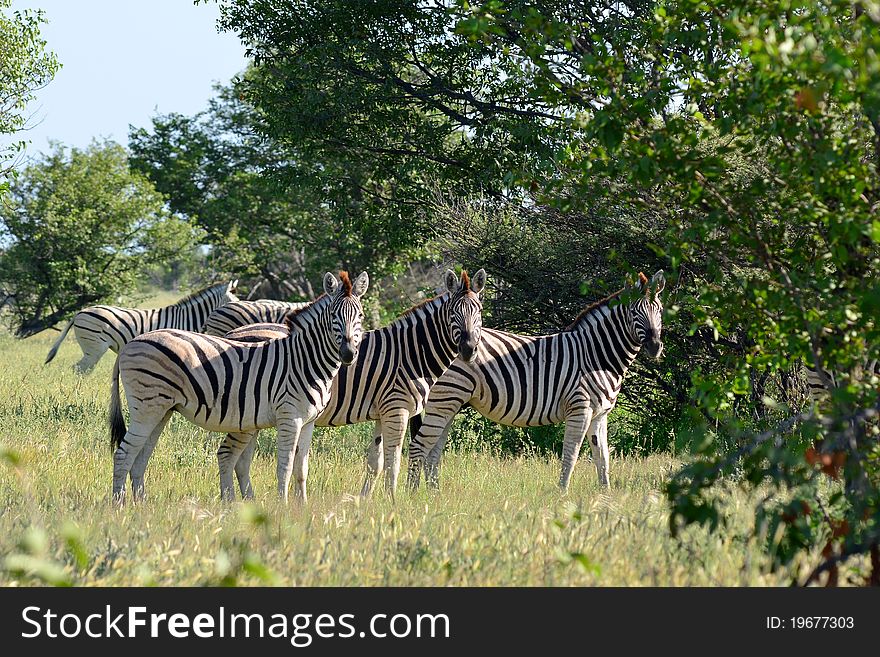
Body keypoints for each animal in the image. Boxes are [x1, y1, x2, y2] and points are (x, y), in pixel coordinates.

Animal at [108, 272, 370, 502]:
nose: (348, 354)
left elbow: (301, 469)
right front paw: (283, 508)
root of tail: (131, 343)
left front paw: (302, 508)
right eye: (333, 315)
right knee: (123, 454)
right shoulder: (289, 417)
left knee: (140, 457)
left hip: (162, 410)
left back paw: (141, 504)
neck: (304, 359)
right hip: (147, 407)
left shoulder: (308, 422)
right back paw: (118, 505)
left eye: (360, 316)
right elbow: (284, 467)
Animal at [217, 270, 484, 500]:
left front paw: (365, 502)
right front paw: (393, 501)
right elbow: (393, 462)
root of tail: (231, 334)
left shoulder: (382, 413)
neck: (409, 353)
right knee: (231, 455)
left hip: (253, 417)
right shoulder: (396, 409)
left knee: (241, 460)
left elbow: (375, 463)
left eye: (479, 312)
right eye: (453, 314)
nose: (469, 349)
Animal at [410, 270, 664, 490]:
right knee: (421, 446)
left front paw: (605, 496)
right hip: (445, 399)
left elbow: (602, 458)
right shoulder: (579, 408)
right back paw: (416, 495)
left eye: (660, 311)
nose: (654, 346)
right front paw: (562, 494)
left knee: (432, 452)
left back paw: (435, 495)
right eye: (634, 312)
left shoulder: (600, 414)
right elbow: (571, 454)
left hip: (450, 403)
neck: (596, 355)